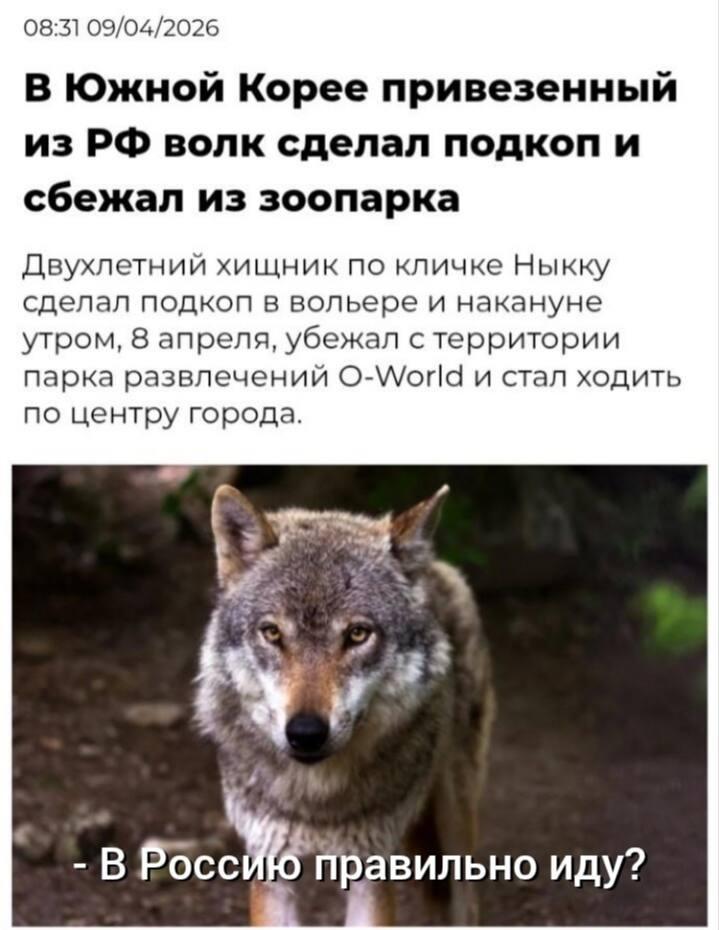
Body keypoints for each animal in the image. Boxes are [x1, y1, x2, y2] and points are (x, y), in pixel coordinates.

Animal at [195, 484, 495, 926]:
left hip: (455, 817)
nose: (305, 733)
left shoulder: (373, 868)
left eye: (357, 634)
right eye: (272, 633)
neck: (317, 801)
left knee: (467, 904)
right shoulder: (269, 865)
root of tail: (437, 567)